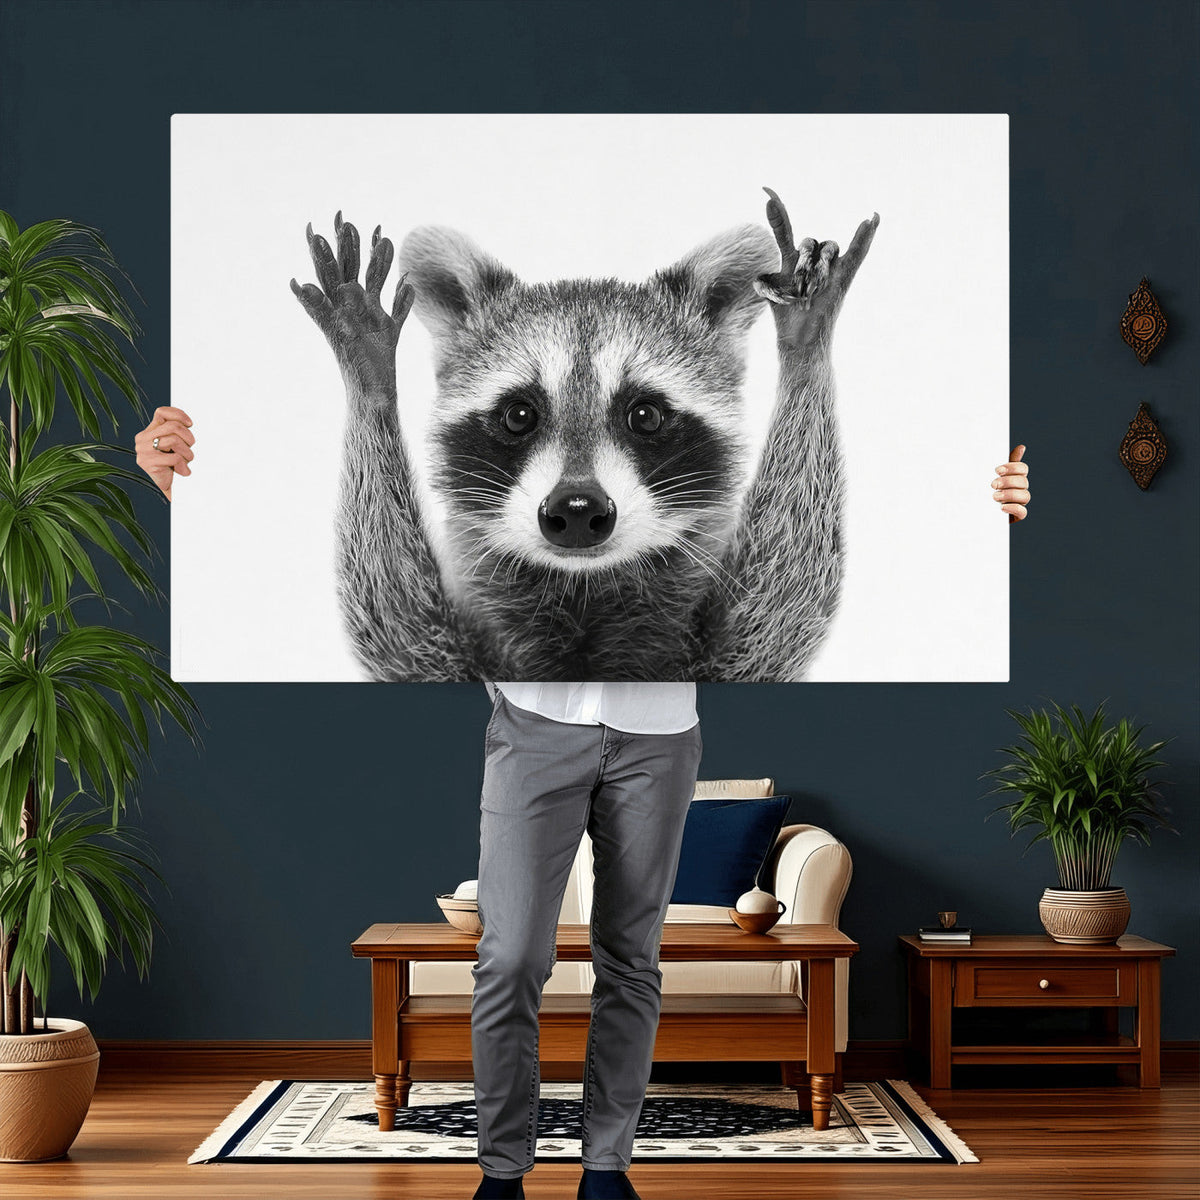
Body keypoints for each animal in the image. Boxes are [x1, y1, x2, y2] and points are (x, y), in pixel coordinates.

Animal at [290, 189, 879, 682]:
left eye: (645, 416)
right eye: (518, 415)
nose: (576, 509)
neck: (582, 591)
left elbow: (784, 601)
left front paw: (805, 344)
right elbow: (394, 624)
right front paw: (369, 373)